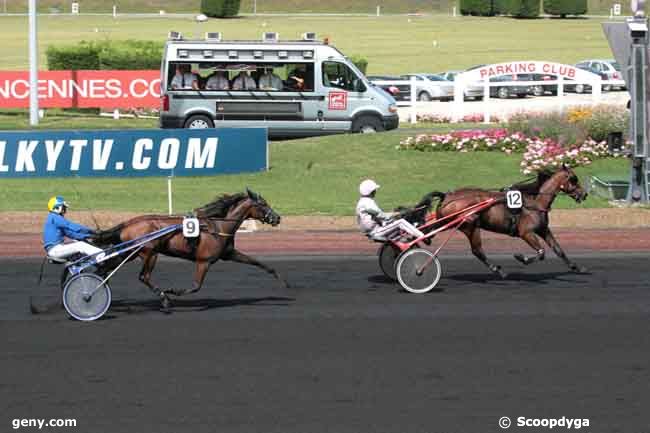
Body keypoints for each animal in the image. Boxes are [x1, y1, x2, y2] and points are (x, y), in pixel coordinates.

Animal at [93, 188, 284, 308]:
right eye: (263, 204)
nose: (277, 218)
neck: (218, 226)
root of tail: (128, 223)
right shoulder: (203, 261)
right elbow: (195, 286)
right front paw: (171, 291)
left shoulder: (228, 254)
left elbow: (257, 262)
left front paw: (281, 279)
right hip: (149, 253)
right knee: (143, 277)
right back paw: (164, 299)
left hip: (131, 252)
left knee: (106, 268)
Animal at [430, 165, 588, 276]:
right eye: (573, 178)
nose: (584, 194)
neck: (535, 202)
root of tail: (446, 196)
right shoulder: (526, 233)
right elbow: (541, 252)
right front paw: (521, 258)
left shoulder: (543, 230)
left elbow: (558, 250)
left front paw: (576, 267)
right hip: (470, 225)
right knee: (477, 250)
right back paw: (498, 270)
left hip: (450, 222)